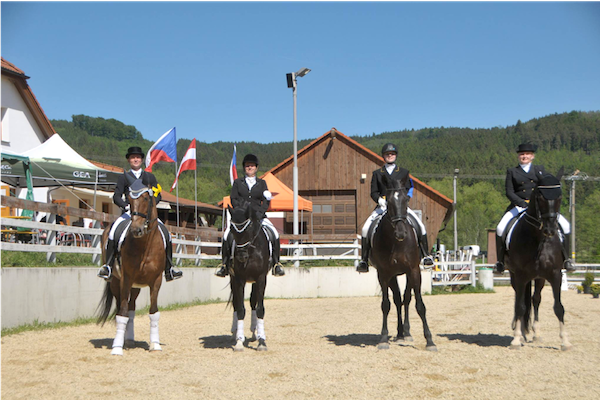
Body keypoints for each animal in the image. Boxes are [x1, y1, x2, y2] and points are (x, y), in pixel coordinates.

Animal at [96, 180, 168, 354]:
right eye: (129, 199)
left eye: (146, 199)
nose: (137, 229)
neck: (145, 246)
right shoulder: (126, 279)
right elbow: (121, 313)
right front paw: (117, 348)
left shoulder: (156, 281)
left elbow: (153, 312)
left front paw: (155, 344)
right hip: (116, 282)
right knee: (122, 308)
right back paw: (122, 341)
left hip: (136, 286)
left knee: (131, 308)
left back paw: (129, 340)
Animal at [227, 203, 270, 350]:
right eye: (231, 229)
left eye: (249, 227)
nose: (241, 256)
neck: (251, 252)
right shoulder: (239, 279)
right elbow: (240, 309)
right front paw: (239, 341)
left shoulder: (261, 278)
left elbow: (260, 309)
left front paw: (262, 341)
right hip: (233, 279)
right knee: (236, 303)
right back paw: (234, 333)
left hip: (255, 282)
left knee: (253, 302)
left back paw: (254, 332)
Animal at [368, 173, 438, 348]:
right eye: (388, 201)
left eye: (406, 199)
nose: (401, 233)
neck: (396, 243)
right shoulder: (383, 274)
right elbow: (386, 305)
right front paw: (383, 338)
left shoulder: (413, 270)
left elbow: (420, 305)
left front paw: (430, 341)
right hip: (393, 275)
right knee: (398, 300)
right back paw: (400, 333)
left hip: (407, 273)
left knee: (405, 299)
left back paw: (406, 333)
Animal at [506, 172, 572, 350]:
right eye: (540, 197)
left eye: (559, 196)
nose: (550, 230)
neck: (538, 239)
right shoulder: (520, 276)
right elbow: (520, 306)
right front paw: (516, 339)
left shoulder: (555, 274)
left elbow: (559, 308)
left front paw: (565, 342)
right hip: (514, 276)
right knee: (518, 301)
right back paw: (521, 334)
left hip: (539, 278)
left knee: (535, 300)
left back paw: (535, 334)